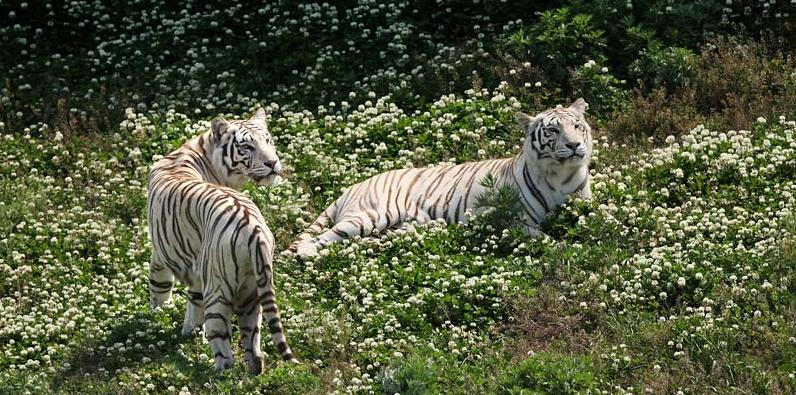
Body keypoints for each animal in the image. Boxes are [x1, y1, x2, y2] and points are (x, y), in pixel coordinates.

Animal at [147, 109, 298, 374]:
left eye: (268, 141)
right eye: (247, 146)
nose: (272, 163)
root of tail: (253, 227)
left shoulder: (162, 255)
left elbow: (160, 288)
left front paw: (160, 315)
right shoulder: (197, 270)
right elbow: (193, 303)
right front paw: (188, 331)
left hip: (218, 291)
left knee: (221, 343)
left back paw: (219, 373)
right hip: (253, 291)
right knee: (253, 342)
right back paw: (254, 372)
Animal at [290, 100, 592, 260]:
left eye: (577, 126)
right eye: (553, 131)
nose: (575, 145)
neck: (561, 174)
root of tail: (351, 186)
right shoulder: (509, 220)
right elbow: (546, 238)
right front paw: (567, 248)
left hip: (394, 228)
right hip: (369, 216)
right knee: (318, 240)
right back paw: (308, 253)